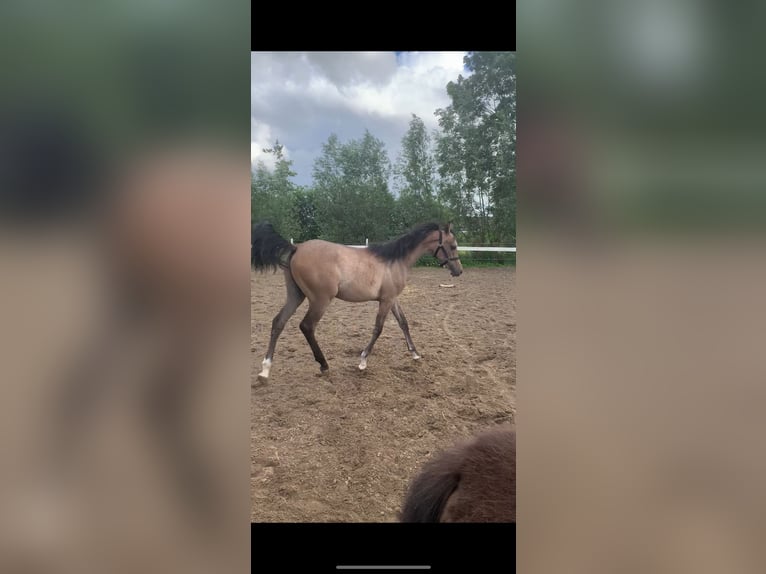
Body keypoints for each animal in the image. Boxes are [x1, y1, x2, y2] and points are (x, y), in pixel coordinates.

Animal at [255, 223, 464, 380]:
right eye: (453, 245)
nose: (458, 271)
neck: (395, 261)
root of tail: (296, 248)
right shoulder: (386, 301)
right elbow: (378, 328)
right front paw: (363, 361)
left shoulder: (392, 299)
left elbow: (404, 323)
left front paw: (415, 354)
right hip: (320, 300)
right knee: (306, 326)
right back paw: (323, 364)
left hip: (296, 295)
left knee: (278, 322)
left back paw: (265, 369)